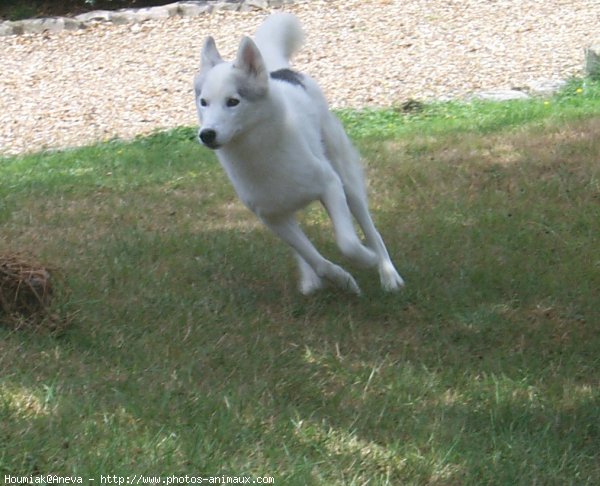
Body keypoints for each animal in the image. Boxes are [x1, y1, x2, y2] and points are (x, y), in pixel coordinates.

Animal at [195, 13, 406, 294]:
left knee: (371, 229)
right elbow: (314, 258)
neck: (258, 152)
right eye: (203, 102)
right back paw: (310, 280)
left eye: (233, 102)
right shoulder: (271, 217)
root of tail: (280, 71)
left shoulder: (330, 185)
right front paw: (341, 278)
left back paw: (387, 272)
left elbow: (348, 243)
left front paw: (367, 259)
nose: (206, 134)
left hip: (346, 182)